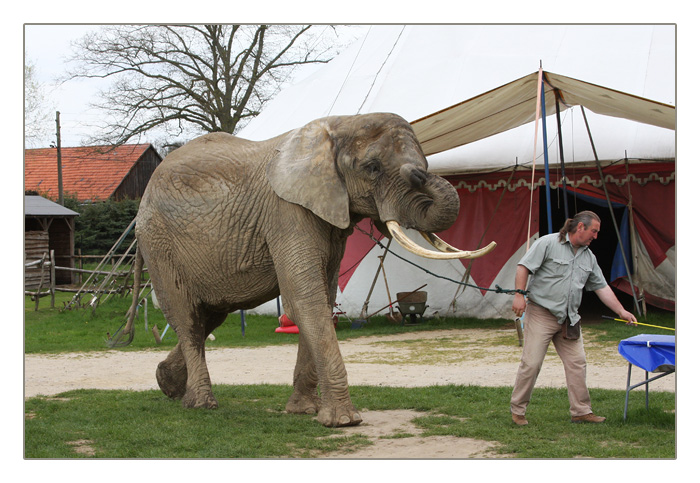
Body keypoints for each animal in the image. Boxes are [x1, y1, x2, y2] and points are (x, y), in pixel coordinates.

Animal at [127, 112, 498, 428]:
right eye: (373, 167)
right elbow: (306, 300)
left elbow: (323, 295)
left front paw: (304, 411)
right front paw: (344, 421)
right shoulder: (285, 212)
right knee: (188, 318)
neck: (340, 123)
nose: (421, 174)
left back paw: (168, 384)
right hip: (159, 244)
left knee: (209, 317)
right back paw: (201, 404)